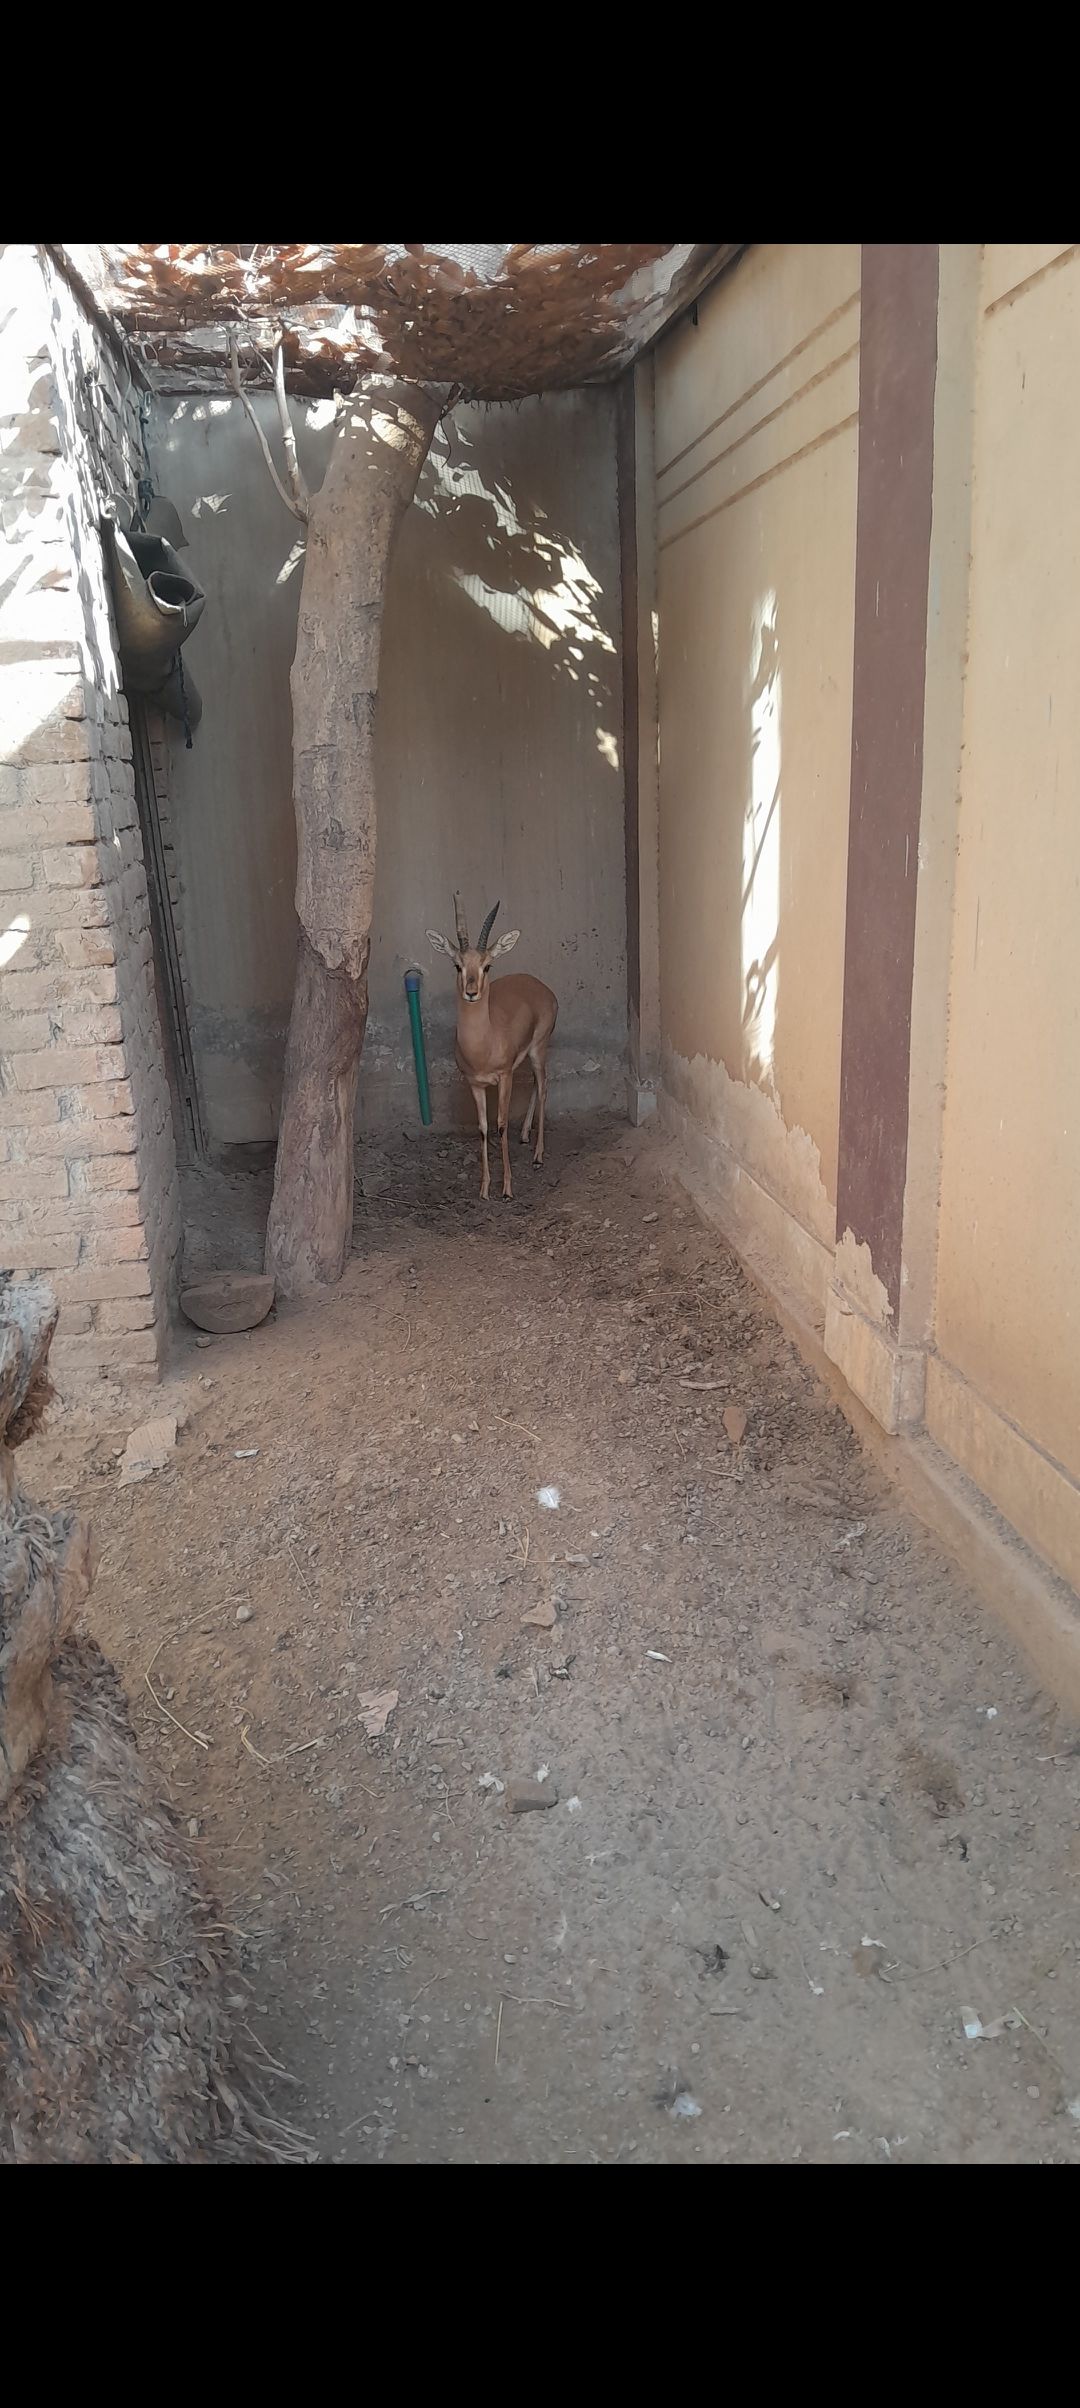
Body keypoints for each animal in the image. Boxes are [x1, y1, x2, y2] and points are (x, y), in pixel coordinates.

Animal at [427, 895, 558, 1201]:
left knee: (545, 1086)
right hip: (528, 1056)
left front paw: (507, 1188)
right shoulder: (475, 1084)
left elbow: (500, 1124)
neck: (482, 1046)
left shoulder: (504, 1077)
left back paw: (538, 1155)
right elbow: (484, 1128)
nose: (471, 992)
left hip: (539, 1049)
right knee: (537, 1084)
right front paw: (484, 1188)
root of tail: (543, 988)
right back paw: (525, 1135)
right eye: (457, 965)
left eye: (487, 966)